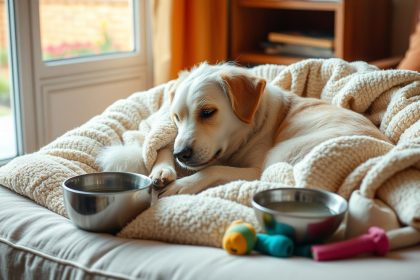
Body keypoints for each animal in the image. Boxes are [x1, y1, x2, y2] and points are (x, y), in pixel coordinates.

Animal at [97, 61, 388, 197]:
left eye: (207, 112)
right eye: (176, 117)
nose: (182, 154)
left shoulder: (253, 169)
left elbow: (212, 169)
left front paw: (183, 184)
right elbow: (162, 146)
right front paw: (163, 170)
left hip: (278, 158)